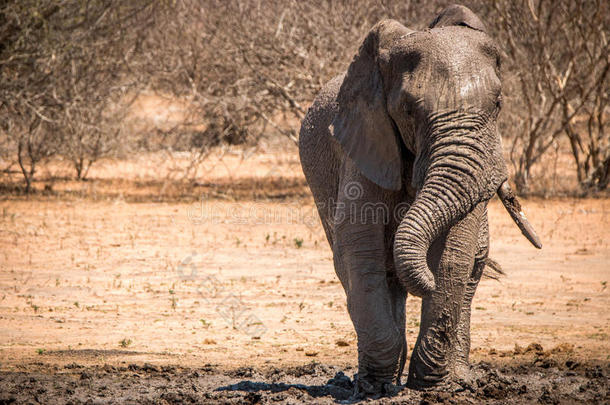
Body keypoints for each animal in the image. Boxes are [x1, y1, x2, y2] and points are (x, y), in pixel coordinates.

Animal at [296, 4, 540, 396]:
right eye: (409, 110)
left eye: (498, 104)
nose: (423, 277)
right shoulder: (365, 139)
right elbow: (359, 244)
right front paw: (374, 388)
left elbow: (455, 251)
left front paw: (433, 386)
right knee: (355, 264)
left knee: (473, 265)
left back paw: (460, 377)